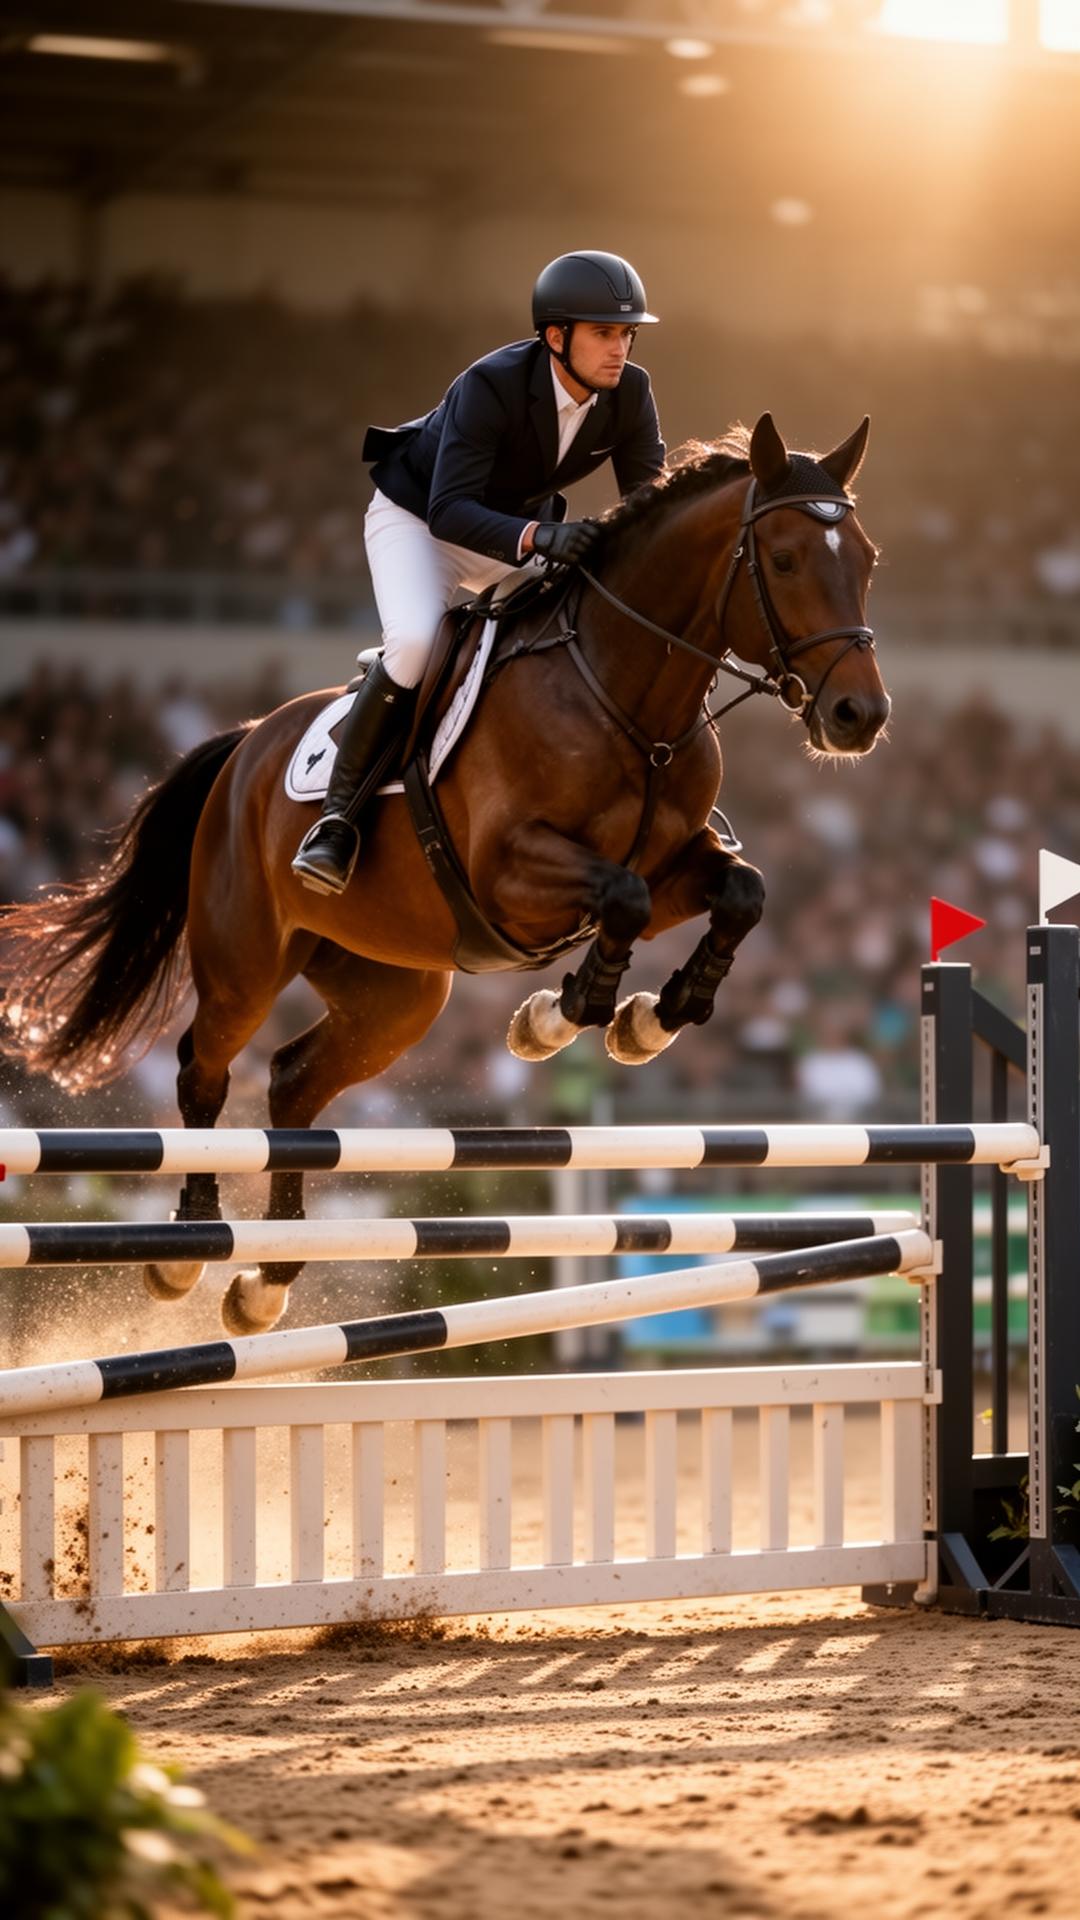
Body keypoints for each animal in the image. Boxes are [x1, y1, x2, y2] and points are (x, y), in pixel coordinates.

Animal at [1, 412, 890, 1335]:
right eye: (783, 559)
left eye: (866, 558)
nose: (858, 716)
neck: (626, 696)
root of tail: (245, 744)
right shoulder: (512, 873)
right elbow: (622, 896)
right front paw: (564, 1016)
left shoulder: (677, 865)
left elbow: (740, 894)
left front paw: (646, 1020)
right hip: (244, 962)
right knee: (204, 1071)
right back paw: (190, 1247)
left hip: (395, 995)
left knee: (292, 1085)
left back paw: (266, 1281)